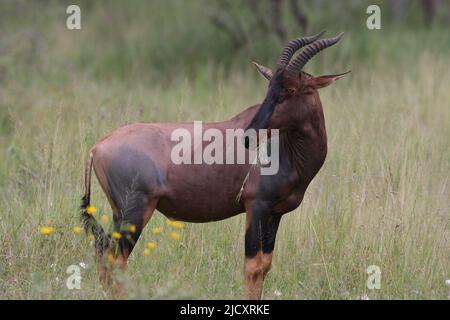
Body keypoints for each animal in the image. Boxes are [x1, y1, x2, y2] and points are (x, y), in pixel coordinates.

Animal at [80, 31, 348, 298]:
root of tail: (98, 146)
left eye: (291, 89)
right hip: (135, 211)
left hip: (120, 213)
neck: (285, 148)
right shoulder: (256, 206)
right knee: (116, 258)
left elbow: (265, 265)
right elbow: (253, 266)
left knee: (103, 250)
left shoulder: (275, 213)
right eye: (270, 87)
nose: (249, 136)